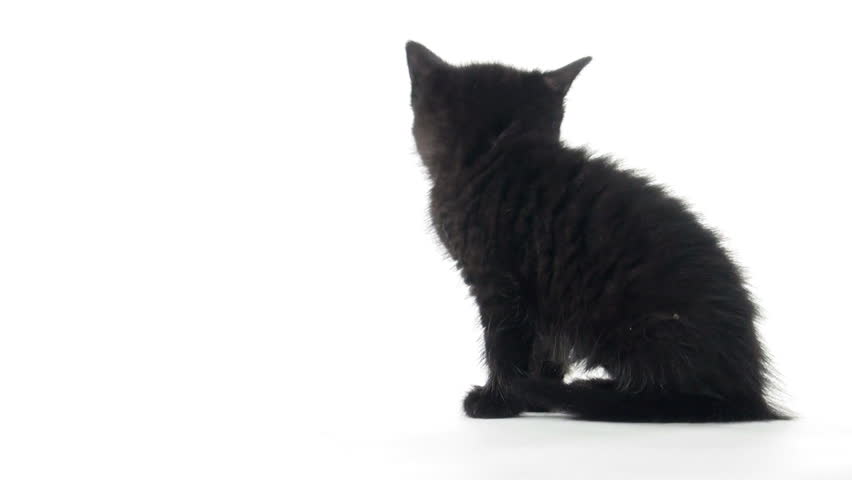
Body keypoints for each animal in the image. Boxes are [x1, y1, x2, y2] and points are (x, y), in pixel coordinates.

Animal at [406, 42, 784, 424]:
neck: (499, 151)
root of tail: (749, 393)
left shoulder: (497, 282)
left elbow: (504, 346)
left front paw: (498, 400)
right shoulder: (543, 296)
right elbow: (545, 344)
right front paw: (538, 394)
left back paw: (594, 393)